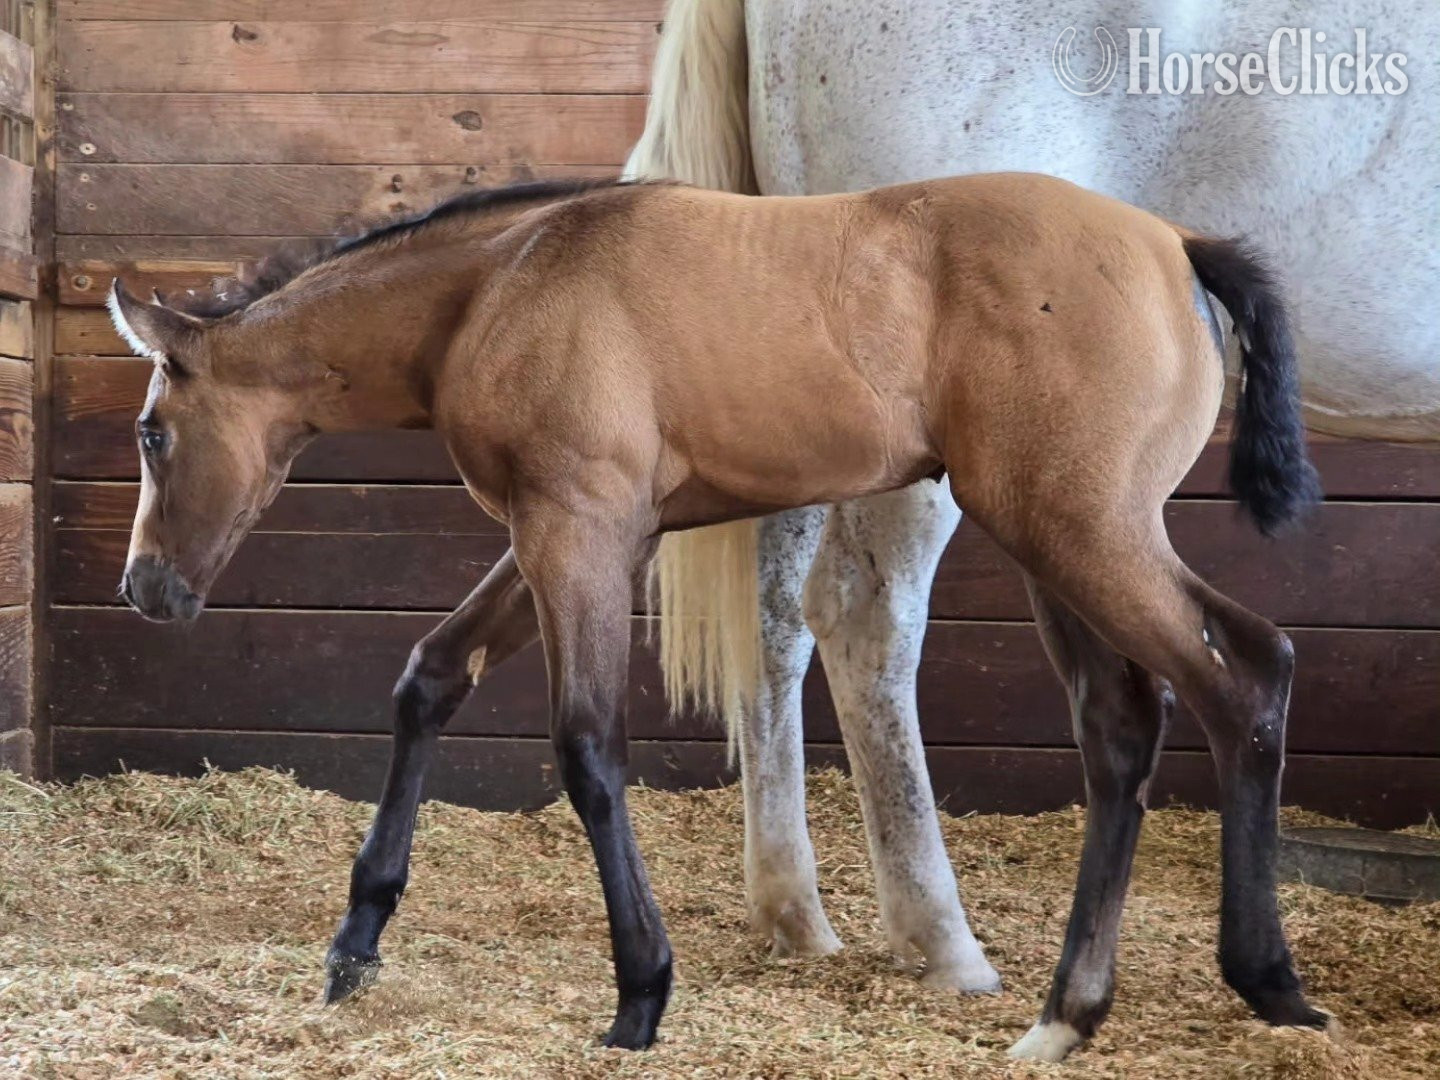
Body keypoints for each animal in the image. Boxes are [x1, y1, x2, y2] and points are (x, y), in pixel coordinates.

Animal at [112, 172, 1321, 1053]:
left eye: (151, 432)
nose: (145, 589)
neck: (499, 287)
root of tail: (1175, 243)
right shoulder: (583, 534)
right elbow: (430, 678)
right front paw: (355, 941)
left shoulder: (577, 531)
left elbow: (588, 747)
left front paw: (641, 994)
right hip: (1053, 541)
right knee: (1129, 721)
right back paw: (1068, 1013)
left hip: (1078, 529)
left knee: (1242, 677)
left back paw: (1263, 980)